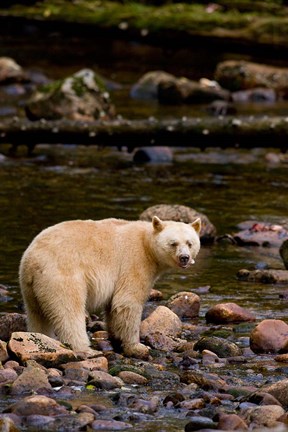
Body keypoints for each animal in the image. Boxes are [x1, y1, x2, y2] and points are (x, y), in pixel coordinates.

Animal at [19, 216, 201, 358]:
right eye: (173, 243)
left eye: (190, 243)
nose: (184, 257)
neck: (147, 245)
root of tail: (32, 259)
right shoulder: (135, 262)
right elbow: (127, 302)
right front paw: (137, 347)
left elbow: (114, 308)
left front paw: (117, 340)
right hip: (62, 275)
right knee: (69, 311)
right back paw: (85, 349)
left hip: (31, 286)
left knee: (37, 315)